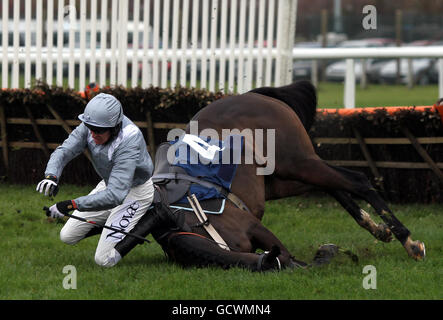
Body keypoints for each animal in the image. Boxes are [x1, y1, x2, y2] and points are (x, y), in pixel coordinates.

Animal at [115, 79, 426, 270]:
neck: (190, 219)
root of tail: (256, 95)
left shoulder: (251, 225)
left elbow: (284, 252)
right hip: (281, 178)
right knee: (334, 184)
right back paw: (378, 228)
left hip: (296, 161)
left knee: (356, 181)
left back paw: (409, 242)